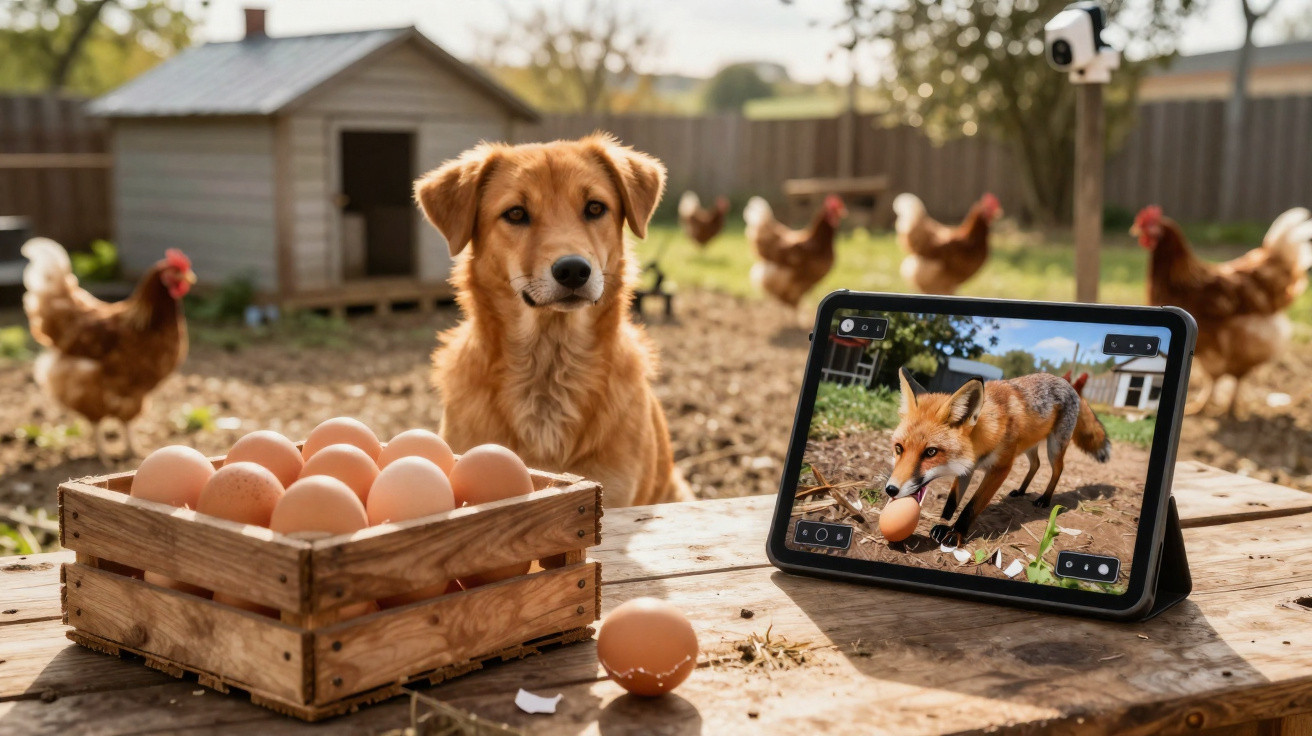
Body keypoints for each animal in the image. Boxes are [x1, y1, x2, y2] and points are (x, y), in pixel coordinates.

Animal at [884, 367, 1111, 547]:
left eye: (931, 452)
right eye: (899, 449)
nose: (891, 489)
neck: (986, 434)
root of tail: (1068, 384)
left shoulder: (1000, 469)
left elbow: (971, 506)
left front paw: (956, 533)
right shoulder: (967, 469)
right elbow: (952, 500)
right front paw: (944, 522)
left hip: (1054, 447)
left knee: (1058, 469)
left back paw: (1045, 499)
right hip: (1029, 447)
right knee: (1036, 465)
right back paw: (1021, 490)